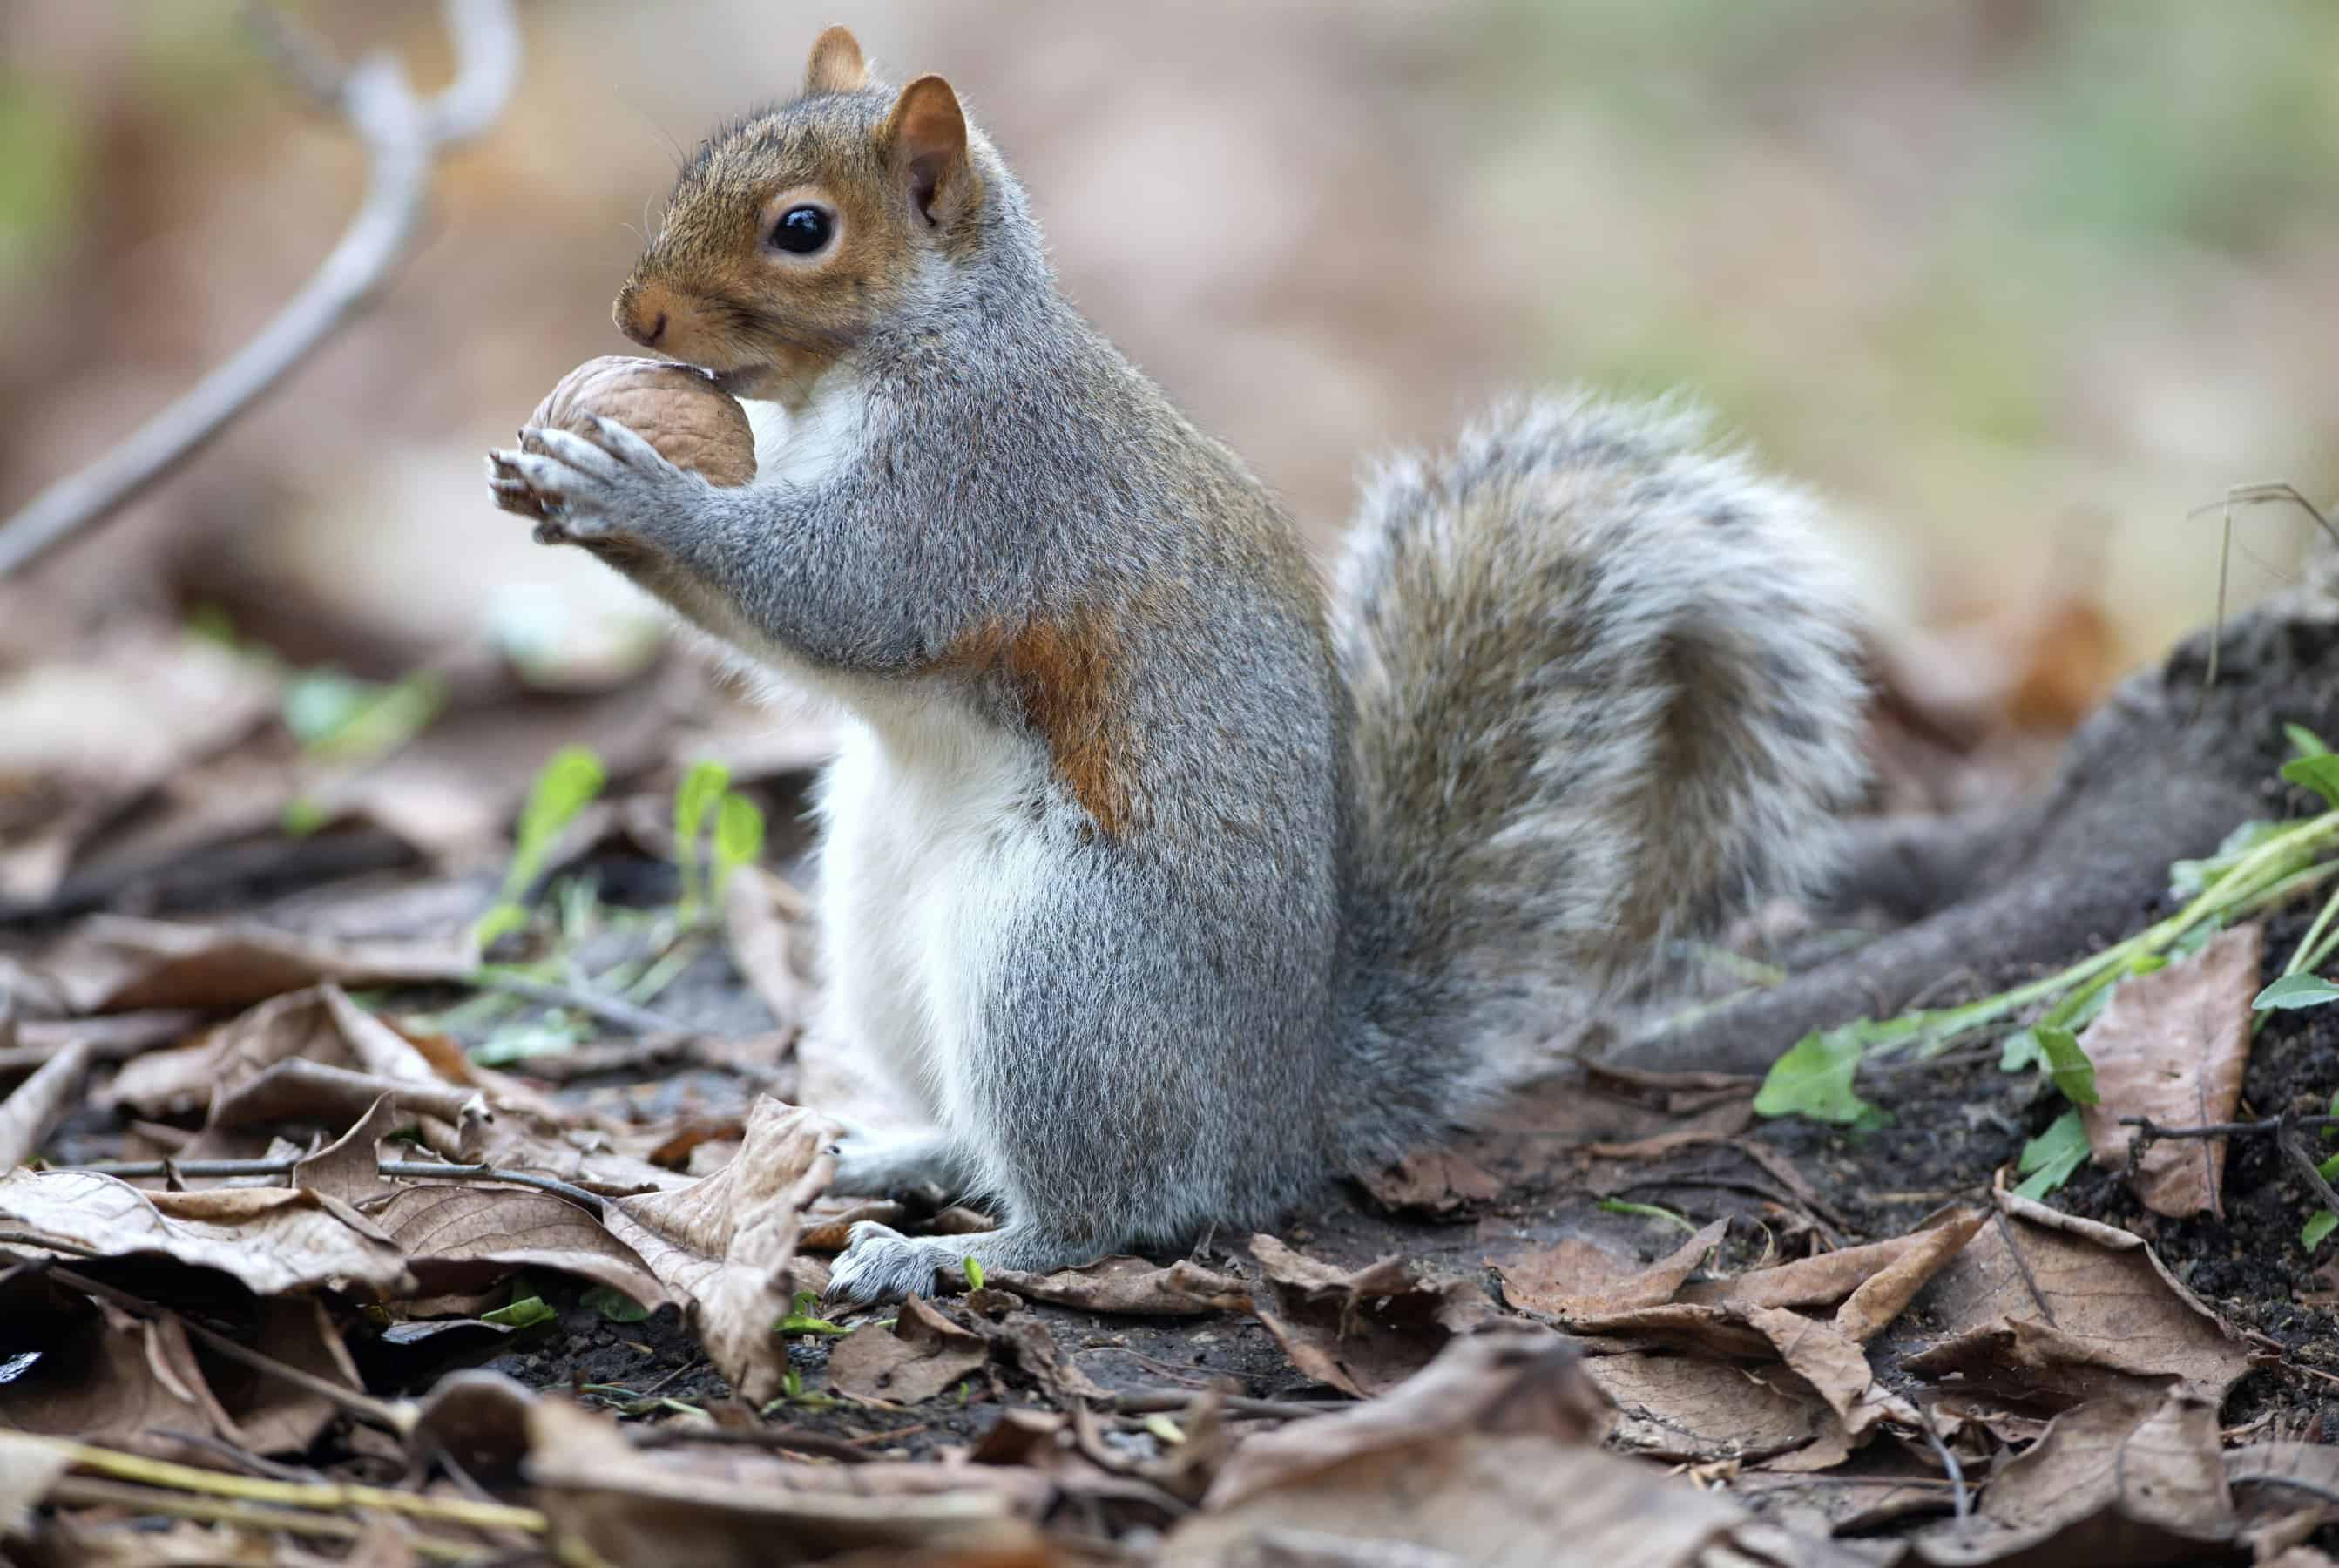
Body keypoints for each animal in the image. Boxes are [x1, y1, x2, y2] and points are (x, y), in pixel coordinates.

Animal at [489, 26, 1869, 1302]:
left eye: (801, 228)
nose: (635, 318)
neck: (910, 350)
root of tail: (1282, 1117)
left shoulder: (980, 482)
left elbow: (846, 599)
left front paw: (632, 494)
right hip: (875, 926)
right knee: (976, 1129)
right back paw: (889, 1154)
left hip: (1065, 976)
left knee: (1110, 1208)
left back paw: (951, 1251)